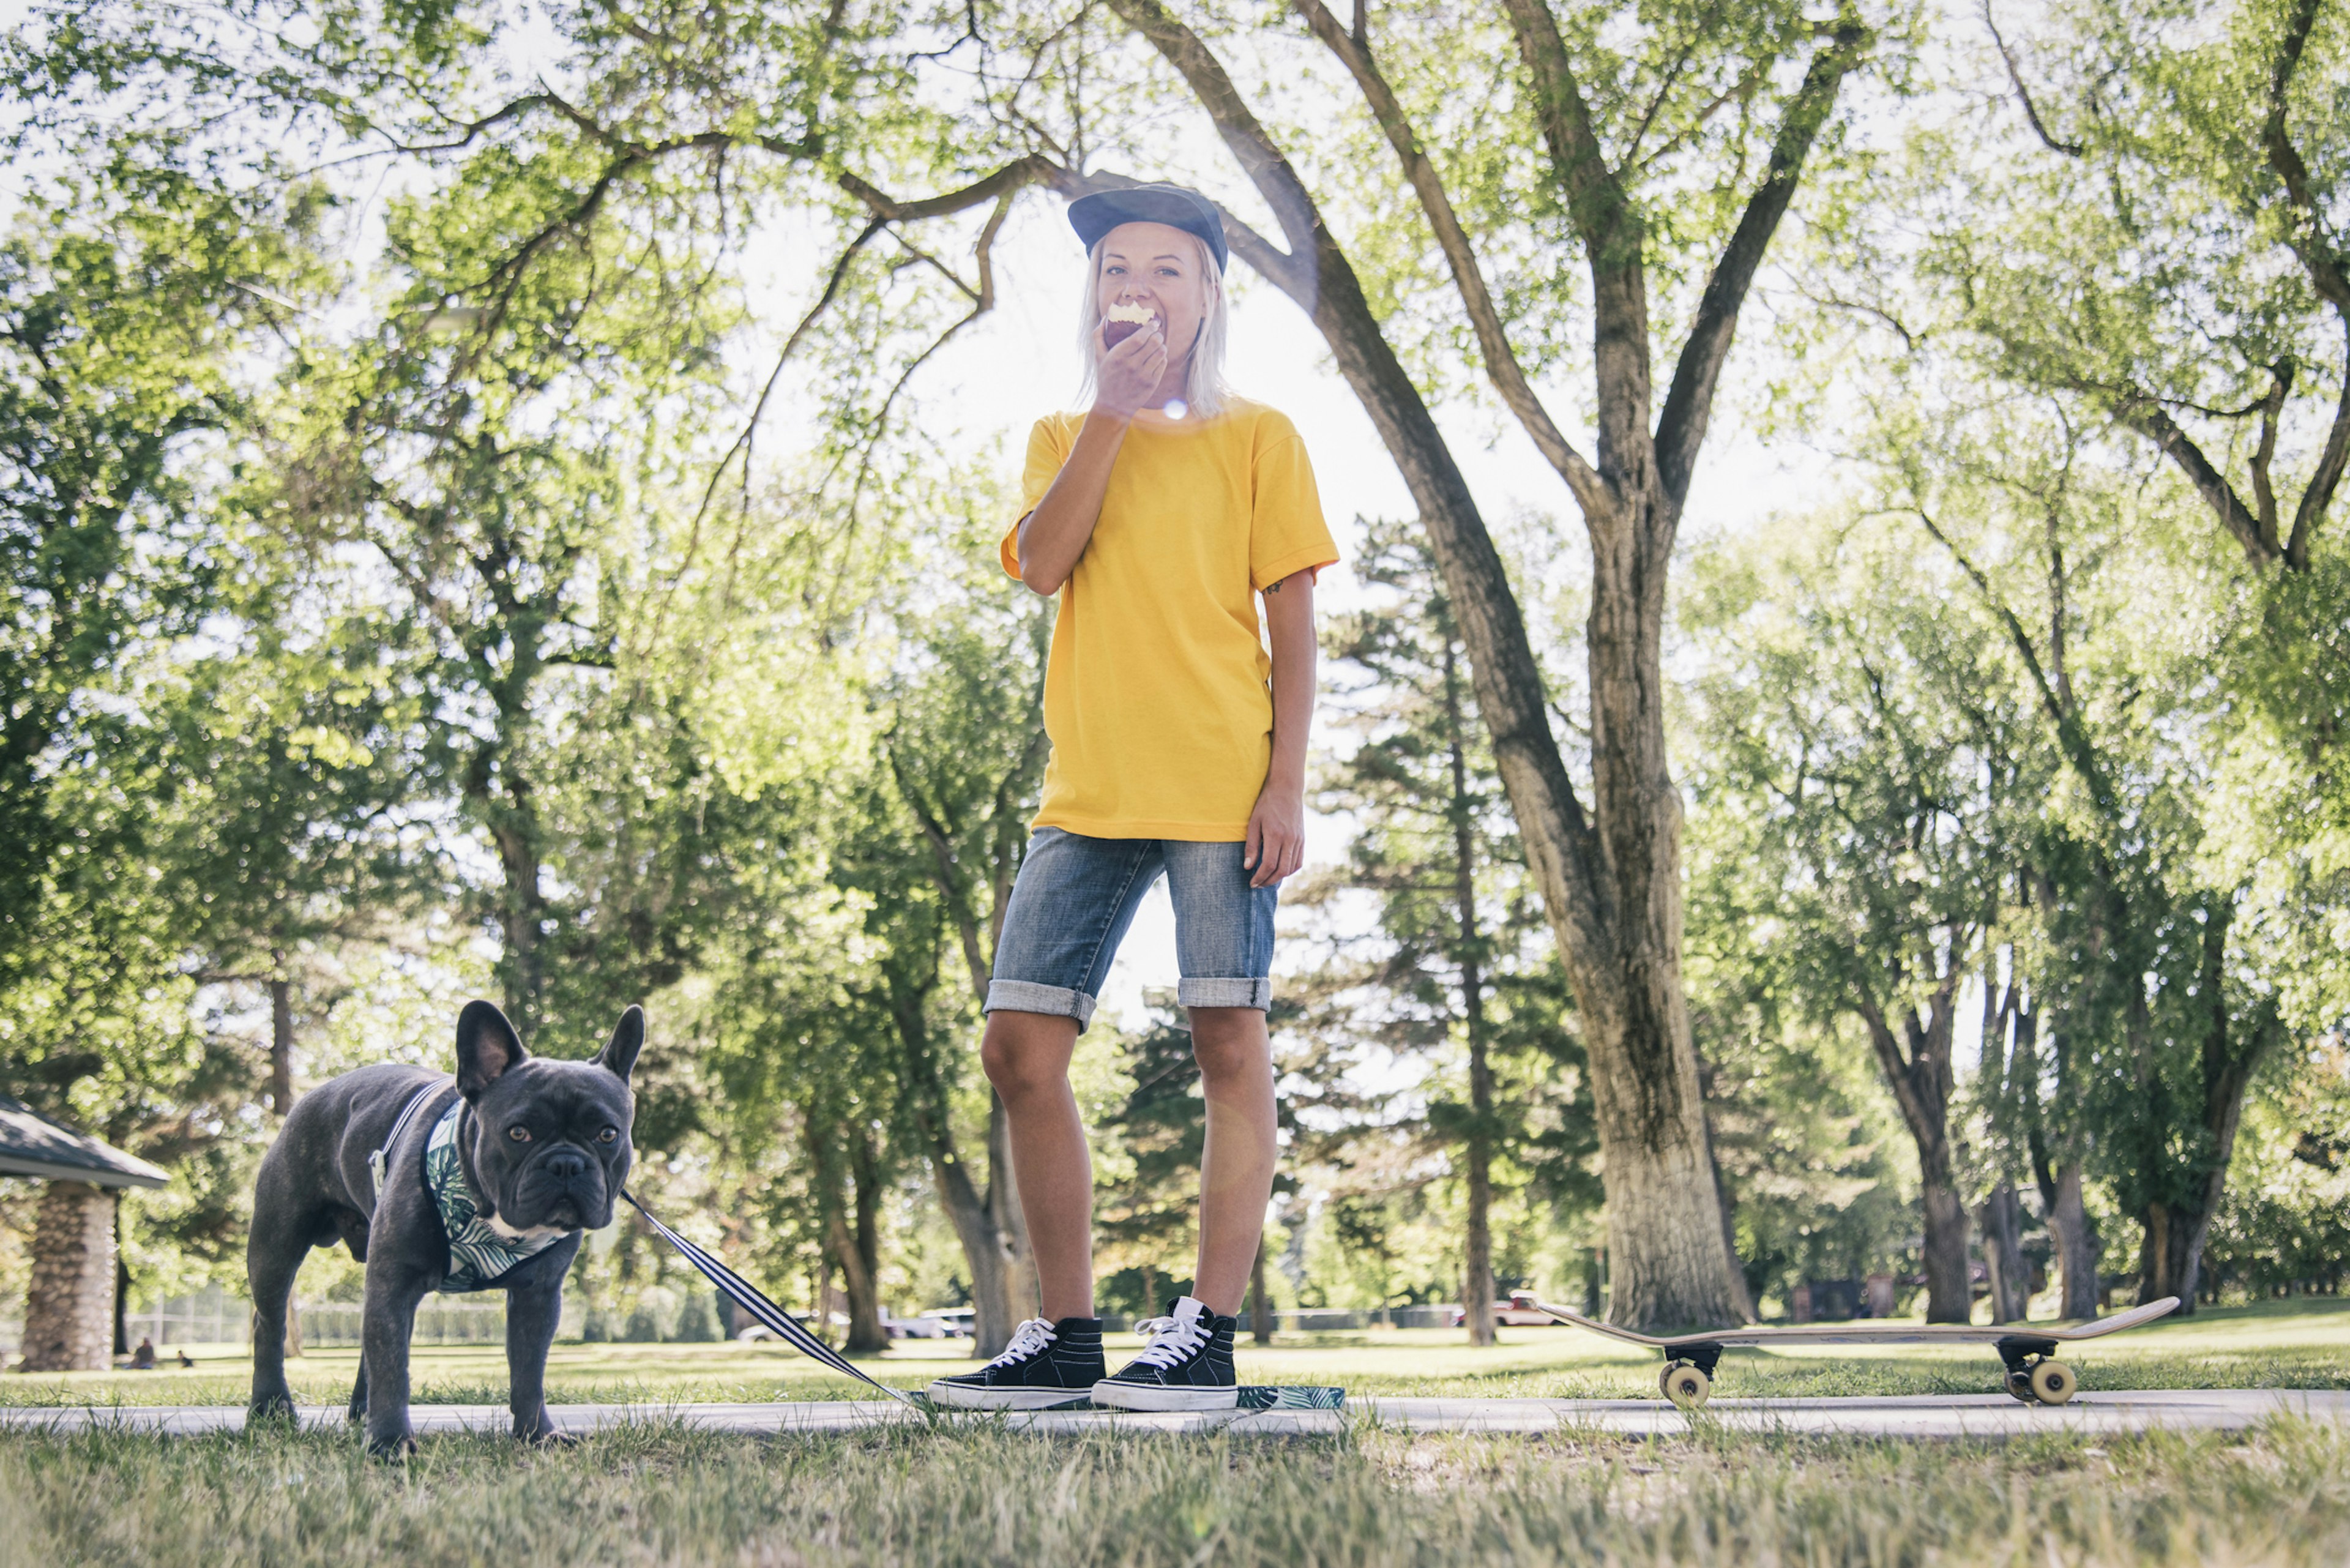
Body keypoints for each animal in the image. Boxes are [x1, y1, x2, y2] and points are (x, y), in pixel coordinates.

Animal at [247, 1001, 644, 1457]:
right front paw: (390, 1444)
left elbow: (529, 1371)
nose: (566, 1164)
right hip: (276, 1247)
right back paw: (271, 1408)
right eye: (518, 1133)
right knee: (271, 1326)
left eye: (608, 1134)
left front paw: (536, 1435)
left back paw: (361, 1413)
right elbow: (393, 1365)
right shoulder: (395, 1278)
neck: (489, 1217)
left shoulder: (539, 1297)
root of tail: (314, 1094)